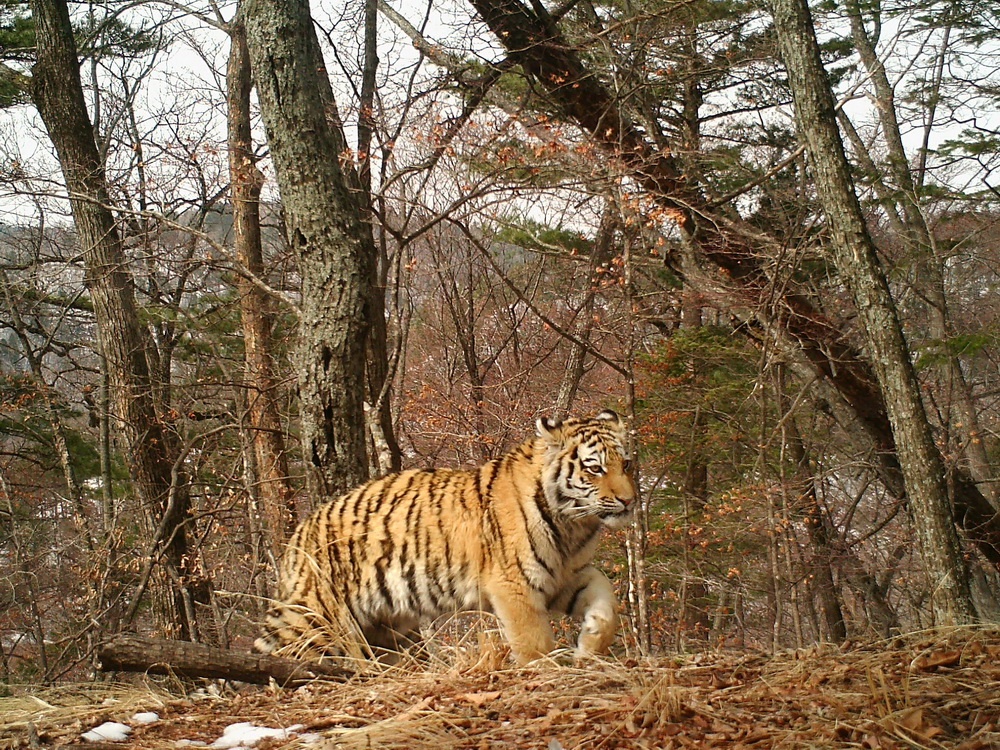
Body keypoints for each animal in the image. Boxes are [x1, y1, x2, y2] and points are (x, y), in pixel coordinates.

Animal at [254, 414, 636, 668]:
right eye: (595, 468)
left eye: (627, 464)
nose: (629, 501)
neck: (574, 524)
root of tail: (298, 536)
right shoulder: (515, 584)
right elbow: (533, 640)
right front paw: (546, 672)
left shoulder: (565, 575)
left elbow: (606, 599)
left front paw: (591, 644)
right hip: (315, 618)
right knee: (284, 651)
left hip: (385, 627)